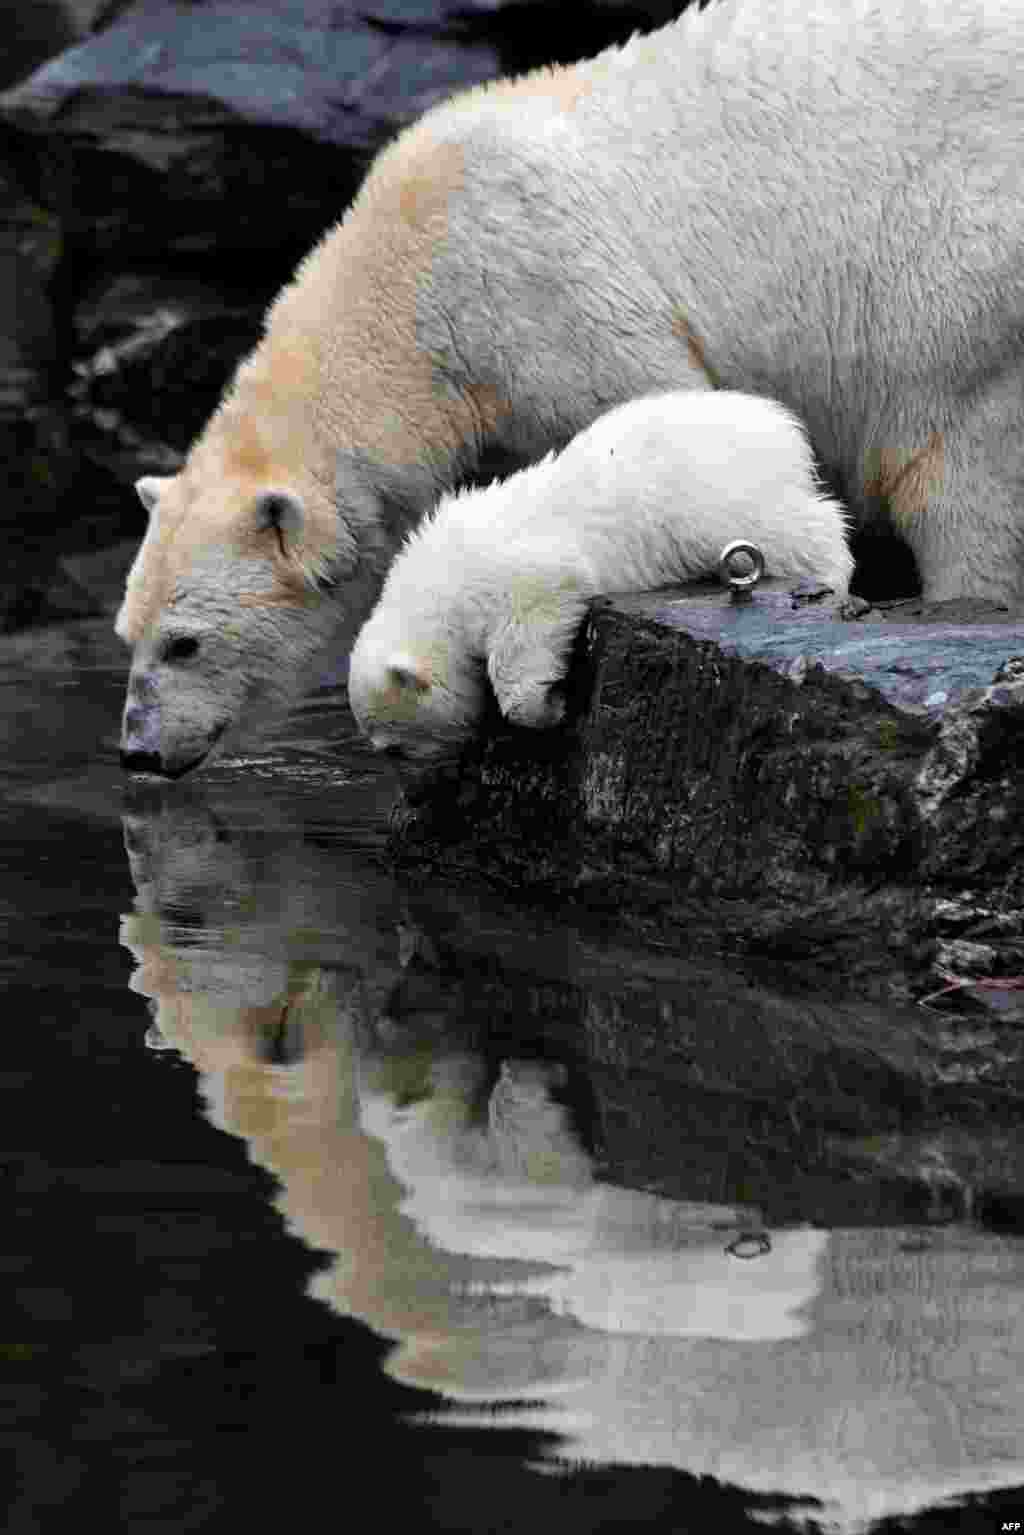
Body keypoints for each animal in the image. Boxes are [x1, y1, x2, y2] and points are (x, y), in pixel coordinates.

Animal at [348, 392, 853, 758]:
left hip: (712, 496)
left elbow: (535, 614)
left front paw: (547, 706)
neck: (437, 583)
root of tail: (780, 426)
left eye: (395, 748)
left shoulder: (514, 571)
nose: (415, 783)